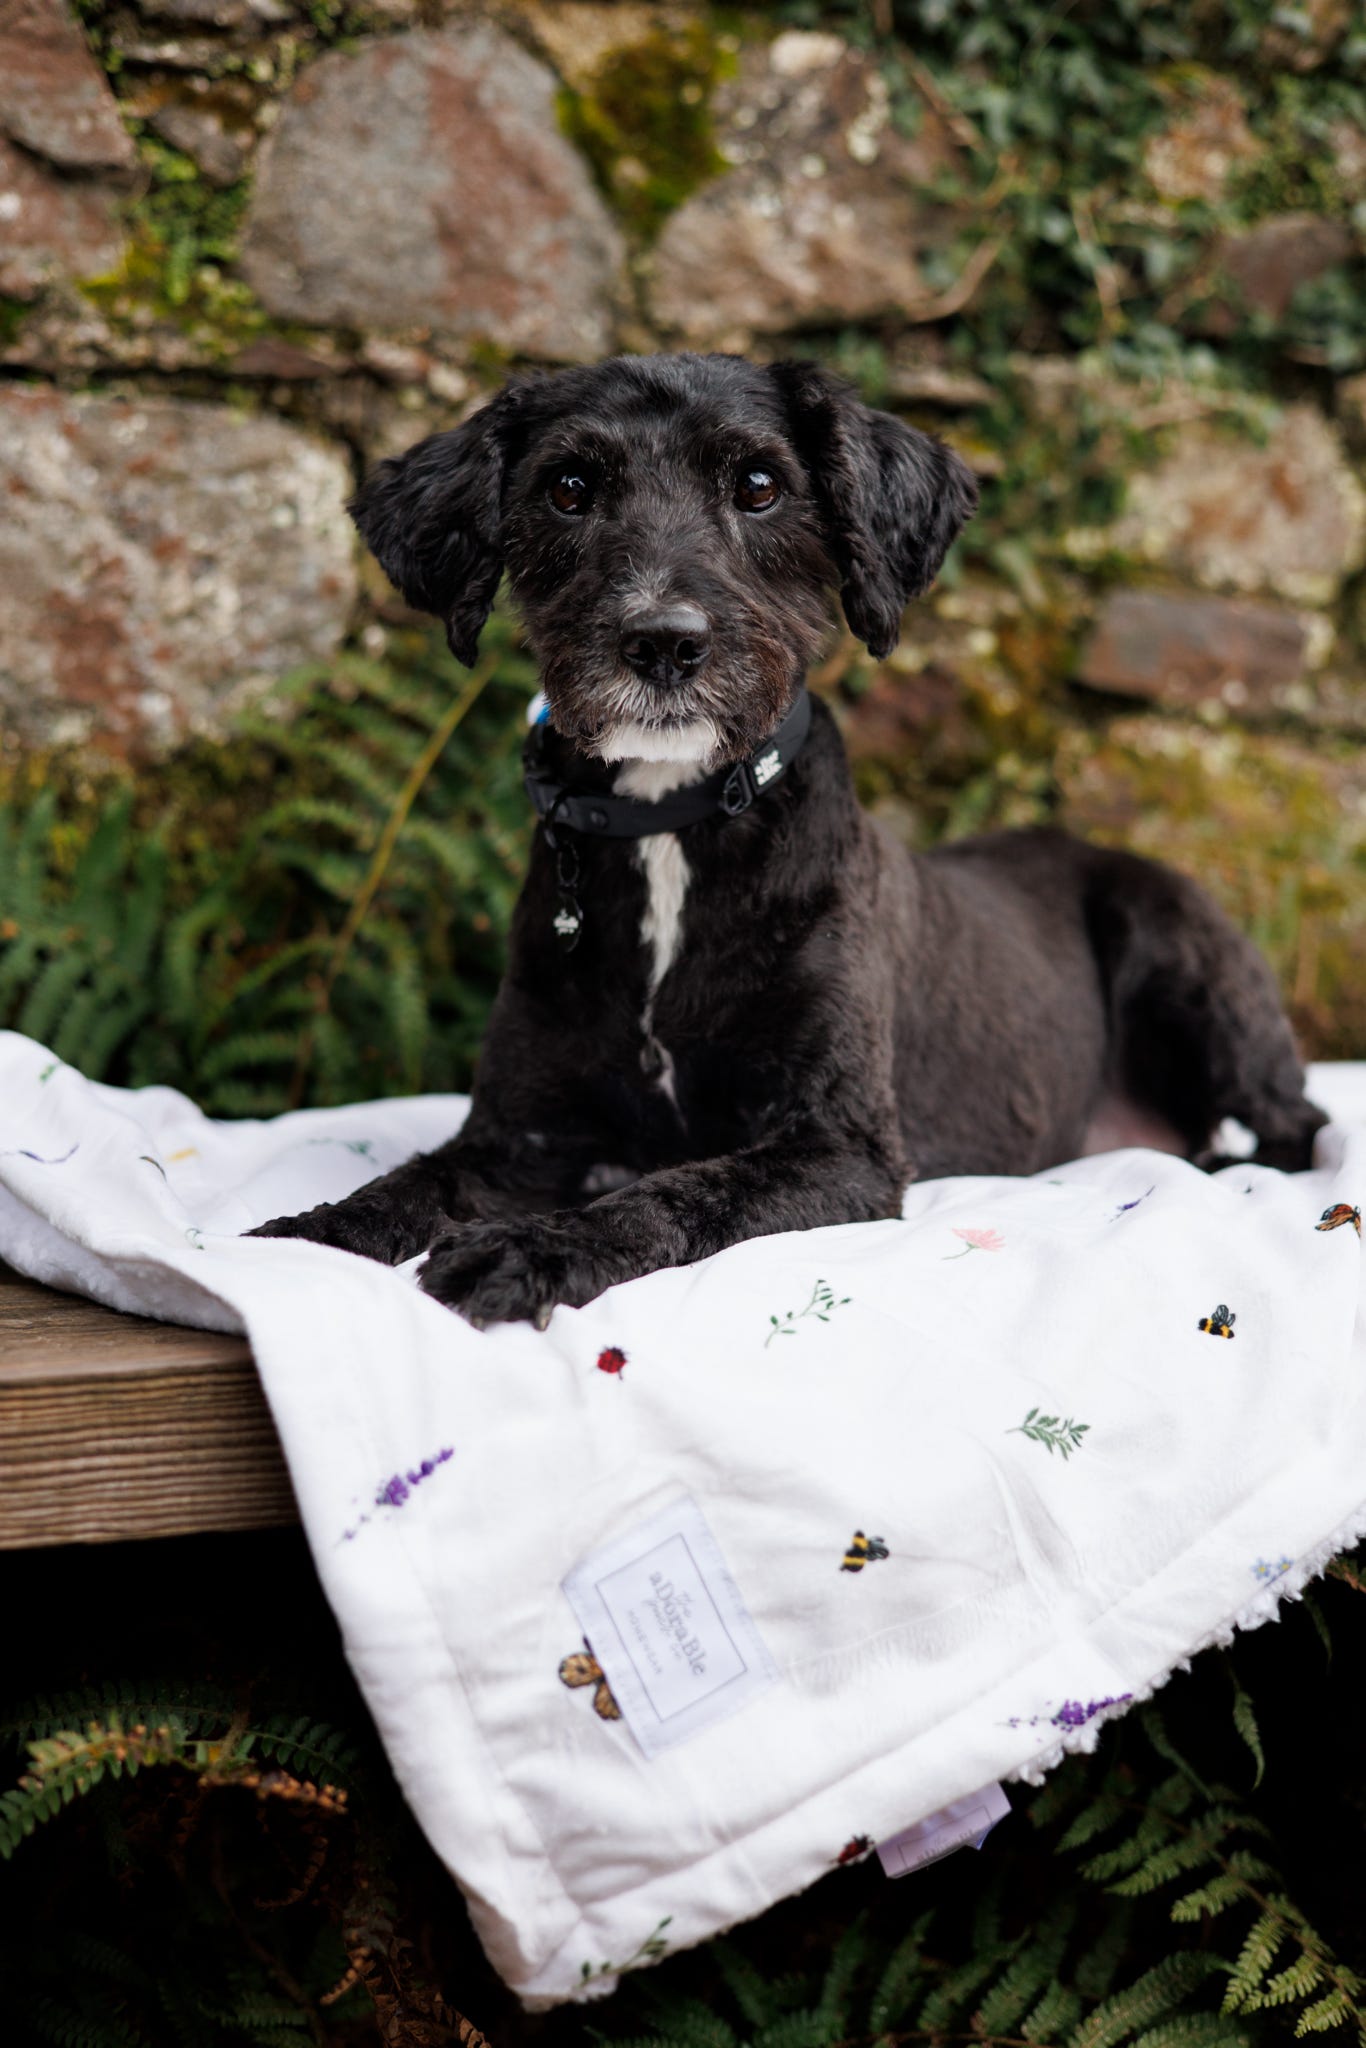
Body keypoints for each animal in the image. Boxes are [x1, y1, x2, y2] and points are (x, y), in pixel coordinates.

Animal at [250, 352, 1327, 1327]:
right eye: (568, 488)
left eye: (760, 486)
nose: (663, 642)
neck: (674, 826)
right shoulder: (521, 1134)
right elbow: (413, 1179)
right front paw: (306, 1235)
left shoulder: (840, 1145)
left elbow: (673, 1191)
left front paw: (531, 1249)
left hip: (1186, 963)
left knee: (1301, 1123)